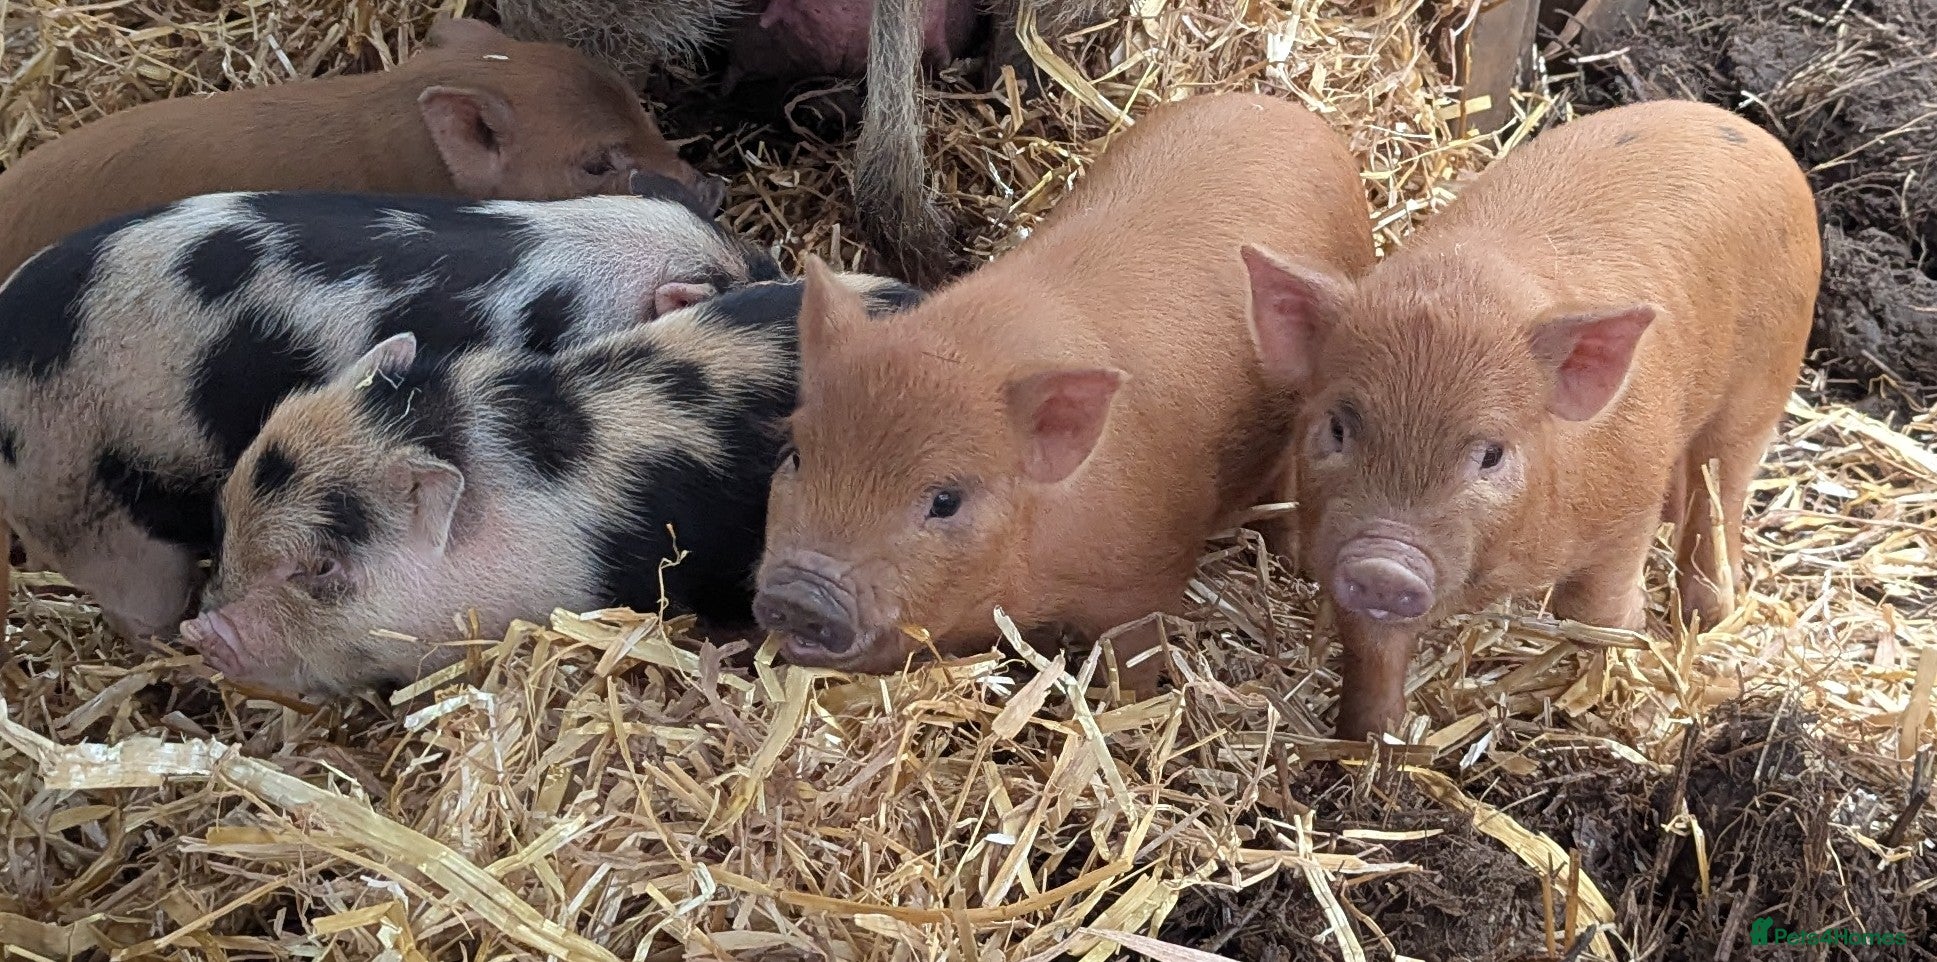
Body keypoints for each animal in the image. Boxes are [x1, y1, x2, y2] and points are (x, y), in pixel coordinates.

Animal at [752, 92, 1378, 682]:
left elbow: (1133, 658)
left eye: (945, 500)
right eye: (795, 455)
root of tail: (1293, 114)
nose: (800, 593)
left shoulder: (1145, 578)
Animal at [1242, 99, 1820, 739]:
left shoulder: (1628, 503)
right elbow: (1375, 651)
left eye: (1492, 453)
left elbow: (1593, 609)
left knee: (1724, 483)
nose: (1385, 563)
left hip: (1763, 377)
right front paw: (1369, 740)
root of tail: (1753, 135)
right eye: (1338, 427)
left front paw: (1625, 657)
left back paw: (1709, 611)